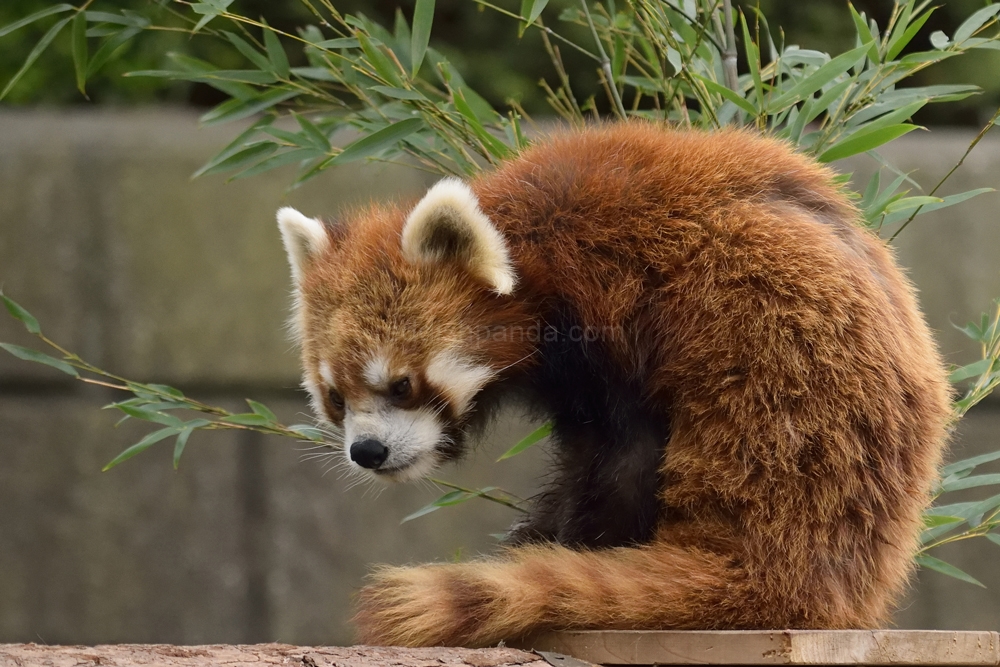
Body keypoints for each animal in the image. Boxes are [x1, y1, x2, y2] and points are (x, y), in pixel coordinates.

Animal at [278, 124, 948, 648]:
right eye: (335, 398)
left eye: (401, 385)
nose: (368, 451)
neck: (535, 255)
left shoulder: (614, 315)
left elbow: (618, 458)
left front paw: (560, 540)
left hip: (780, 392)